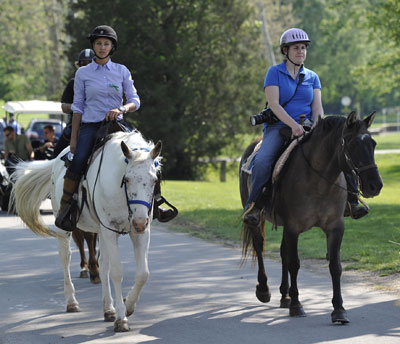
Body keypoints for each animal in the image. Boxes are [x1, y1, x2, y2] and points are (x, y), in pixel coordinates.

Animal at [10, 130, 162, 332]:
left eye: (154, 180)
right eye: (127, 179)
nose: (139, 222)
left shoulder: (138, 232)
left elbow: (143, 274)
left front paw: (128, 305)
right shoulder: (110, 230)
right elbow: (116, 272)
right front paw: (121, 318)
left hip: (102, 231)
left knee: (102, 264)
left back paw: (108, 309)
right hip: (65, 227)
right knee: (65, 258)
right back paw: (72, 301)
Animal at [239, 112, 382, 322]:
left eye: (373, 143)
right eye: (352, 144)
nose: (375, 185)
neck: (319, 180)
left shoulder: (335, 228)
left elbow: (335, 266)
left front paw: (339, 310)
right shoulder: (293, 227)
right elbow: (294, 264)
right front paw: (297, 305)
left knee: (282, 252)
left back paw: (285, 296)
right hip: (256, 219)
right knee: (259, 246)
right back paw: (264, 290)